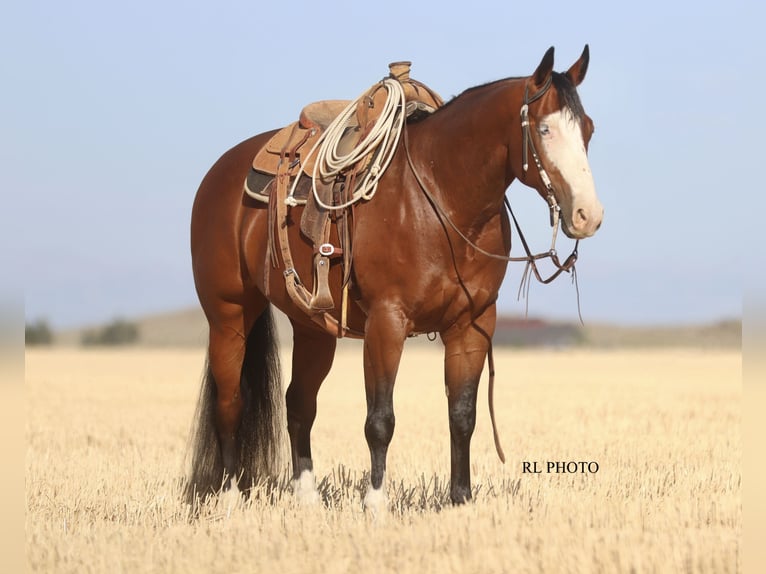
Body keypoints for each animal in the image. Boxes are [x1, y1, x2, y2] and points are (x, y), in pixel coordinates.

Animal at [185, 45, 603, 510]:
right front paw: (376, 504)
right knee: (230, 402)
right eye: (545, 129)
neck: (442, 196)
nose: (587, 215)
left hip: (312, 328)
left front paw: (461, 500)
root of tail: (220, 172)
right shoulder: (387, 321)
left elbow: (462, 415)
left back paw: (307, 497)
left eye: (588, 129)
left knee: (299, 403)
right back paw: (229, 497)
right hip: (228, 316)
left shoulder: (472, 324)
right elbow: (380, 419)